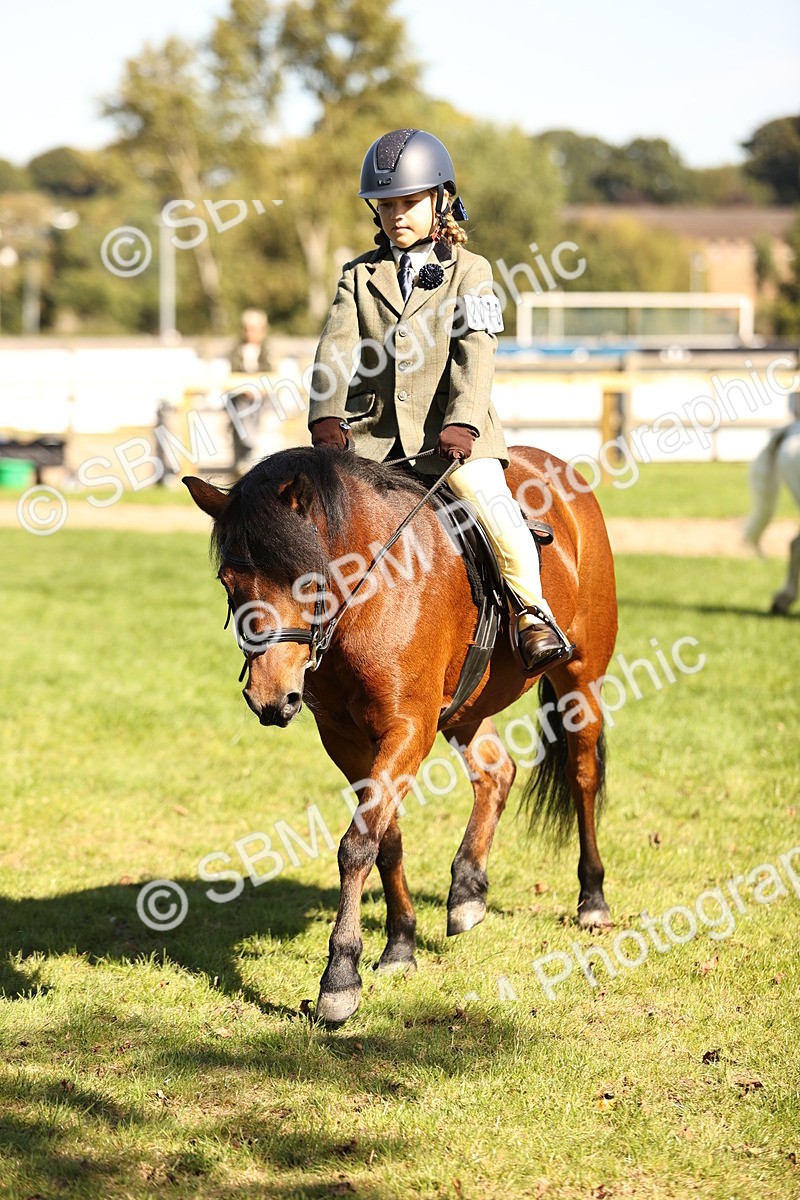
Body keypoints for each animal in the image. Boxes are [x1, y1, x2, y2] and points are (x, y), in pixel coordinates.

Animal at [184, 444, 618, 1024]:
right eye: (228, 584)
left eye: (307, 580)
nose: (269, 698)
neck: (372, 591)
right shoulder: (346, 738)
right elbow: (384, 840)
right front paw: (400, 946)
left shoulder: (408, 728)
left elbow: (357, 843)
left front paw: (340, 978)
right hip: (466, 706)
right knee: (496, 772)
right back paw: (467, 890)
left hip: (580, 679)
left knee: (581, 776)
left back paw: (592, 899)